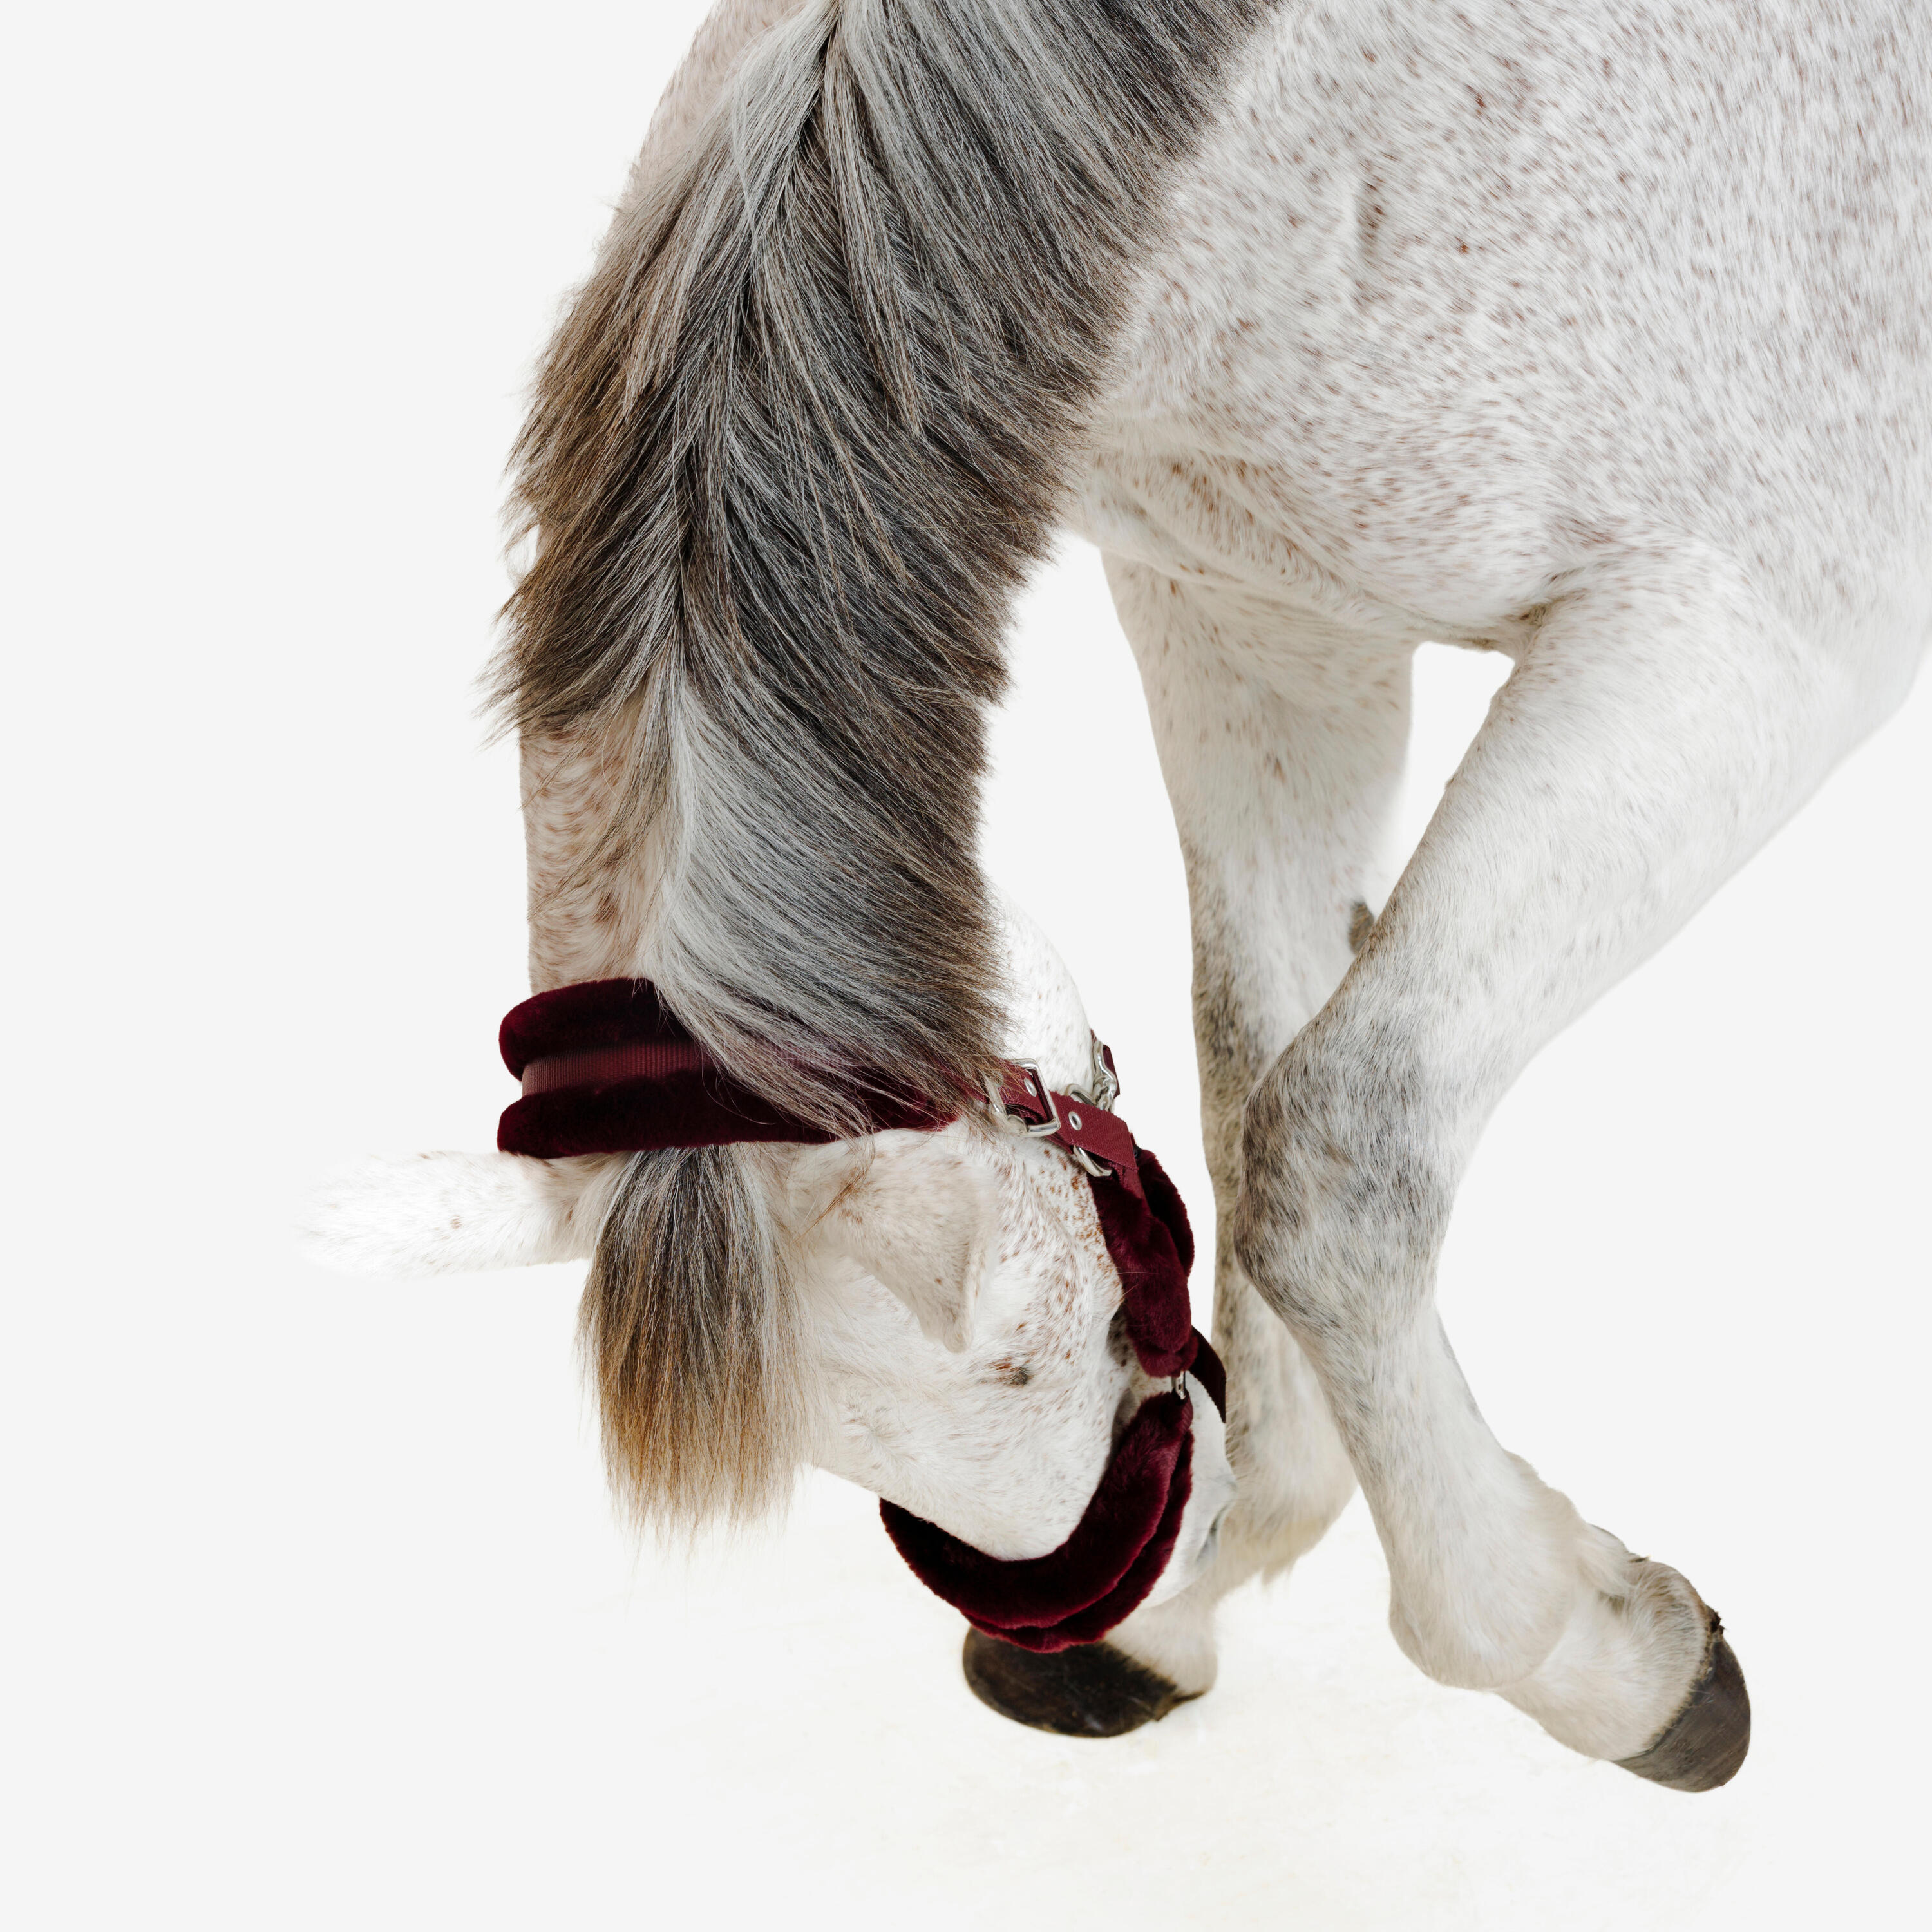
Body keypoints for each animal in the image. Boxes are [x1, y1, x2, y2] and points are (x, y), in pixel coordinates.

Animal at [308, 0, 1930, 1793]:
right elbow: (1246, 1073)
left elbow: (1333, 1152)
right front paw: (1246, 1562)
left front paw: (1592, 1655)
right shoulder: (1261, 630)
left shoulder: (1729, 656)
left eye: (1042, 1348)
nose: (1086, 1622)